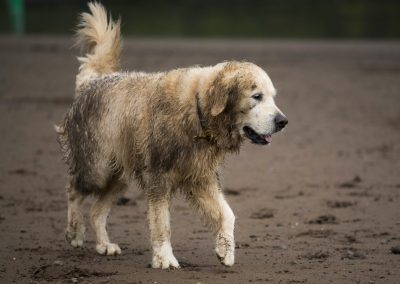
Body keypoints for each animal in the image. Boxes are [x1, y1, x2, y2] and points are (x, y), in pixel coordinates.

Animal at [56, 2, 288, 268]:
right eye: (257, 96)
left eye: (272, 97)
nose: (283, 121)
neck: (198, 112)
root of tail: (91, 81)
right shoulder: (158, 177)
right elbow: (161, 223)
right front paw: (165, 258)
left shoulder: (200, 176)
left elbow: (227, 214)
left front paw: (225, 251)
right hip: (97, 167)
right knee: (73, 189)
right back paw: (75, 232)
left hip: (119, 173)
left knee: (96, 211)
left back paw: (104, 245)